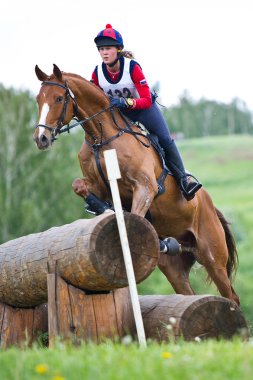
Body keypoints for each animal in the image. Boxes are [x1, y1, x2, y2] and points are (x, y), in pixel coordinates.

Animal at [33, 63, 239, 306]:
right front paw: (103, 209)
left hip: (212, 255)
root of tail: (211, 206)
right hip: (174, 266)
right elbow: (79, 186)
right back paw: (165, 246)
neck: (101, 137)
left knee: (231, 295)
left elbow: (135, 215)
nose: (41, 138)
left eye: (58, 98)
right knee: (188, 292)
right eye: (38, 99)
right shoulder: (98, 186)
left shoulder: (145, 187)